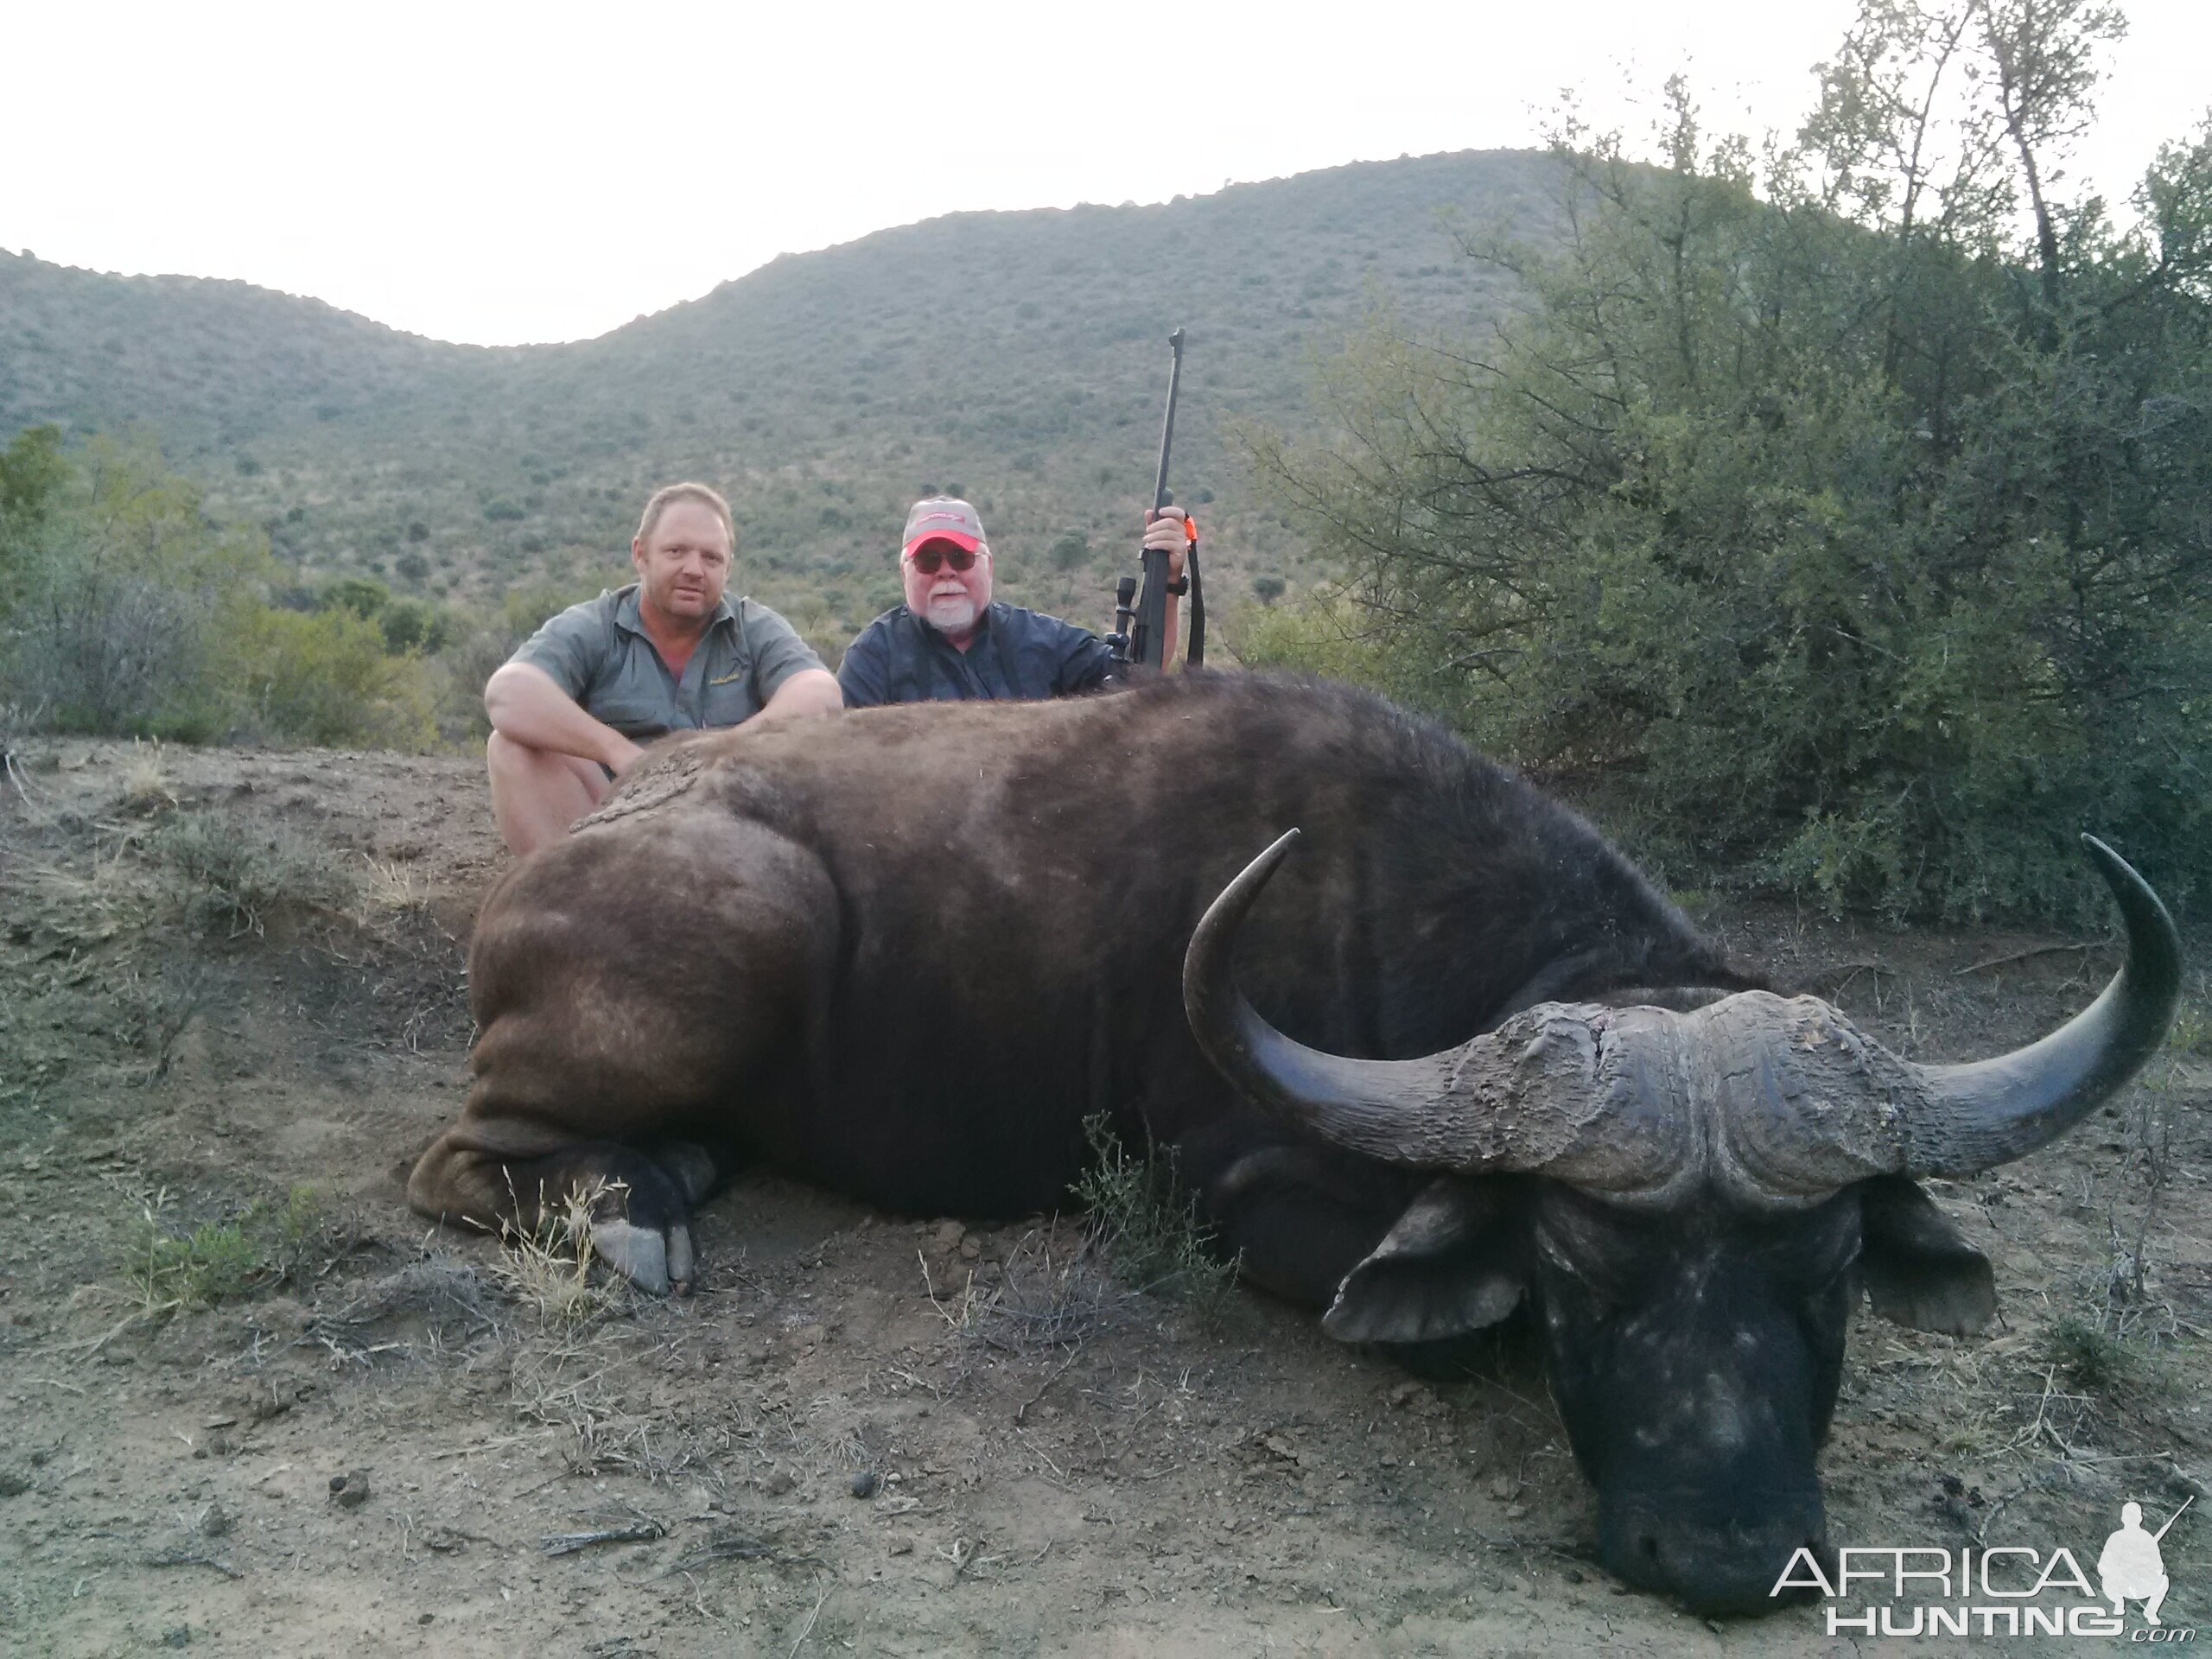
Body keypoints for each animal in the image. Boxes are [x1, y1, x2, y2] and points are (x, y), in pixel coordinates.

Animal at [411, 668, 2177, 1618]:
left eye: (1827, 1266)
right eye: (1578, 1262)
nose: (1731, 1560)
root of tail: (581, 841)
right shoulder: (1244, 1199)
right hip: (743, 930)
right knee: (456, 1165)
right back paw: (633, 1210)